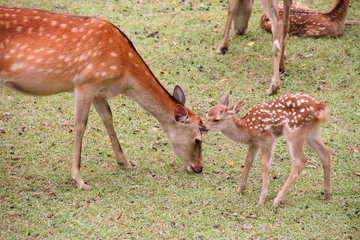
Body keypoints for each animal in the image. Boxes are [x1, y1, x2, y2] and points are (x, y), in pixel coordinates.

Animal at [0, 6, 204, 189]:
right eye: (198, 140)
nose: (199, 168)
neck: (124, 74)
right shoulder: (85, 83)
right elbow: (80, 125)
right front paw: (79, 180)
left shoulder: (99, 90)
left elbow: (108, 118)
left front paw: (126, 163)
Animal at [200, 94, 332, 206]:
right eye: (206, 116)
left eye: (216, 119)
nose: (202, 127)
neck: (247, 128)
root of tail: (321, 109)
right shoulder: (255, 143)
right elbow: (248, 161)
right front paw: (240, 190)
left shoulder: (267, 139)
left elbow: (264, 165)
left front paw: (262, 199)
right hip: (310, 133)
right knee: (325, 152)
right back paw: (327, 195)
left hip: (294, 131)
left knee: (300, 161)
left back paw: (276, 201)